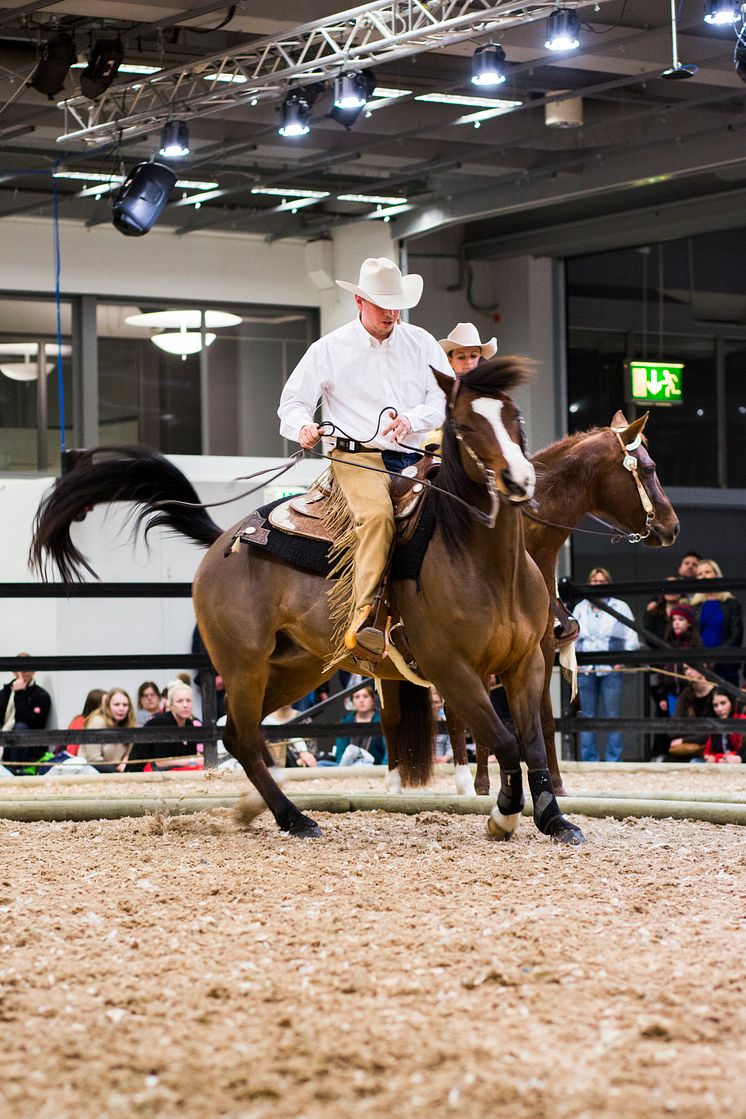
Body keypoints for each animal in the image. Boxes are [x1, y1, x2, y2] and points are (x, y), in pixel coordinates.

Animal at [32, 360, 586, 845]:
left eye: (514, 417)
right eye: (467, 424)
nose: (518, 481)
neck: (484, 563)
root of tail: (225, 538)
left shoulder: (526, 664)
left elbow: (532, 742)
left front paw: (555, 820)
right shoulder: (452, 671)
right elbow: (505, 740)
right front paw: (503, 815)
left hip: (297, 668)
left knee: (239, 734)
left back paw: (268, 811)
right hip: (244, 665)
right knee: (243, 738)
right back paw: (295, 819)